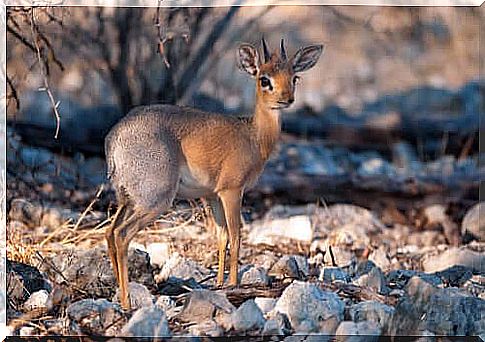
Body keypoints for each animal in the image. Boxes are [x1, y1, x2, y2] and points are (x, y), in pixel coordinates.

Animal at [104, 38, 324, 310]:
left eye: (294, 77)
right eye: (264, 79)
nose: (287, 99)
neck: (254, 136)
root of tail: (114, 138)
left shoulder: (211, 195)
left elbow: (222, 237)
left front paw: (219, 285)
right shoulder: (232, 191)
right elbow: (237, 237)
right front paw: (234, 284)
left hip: (127, 199)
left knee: (110, 232)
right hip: (155, 200)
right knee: (123, 234)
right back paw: (127, 303)